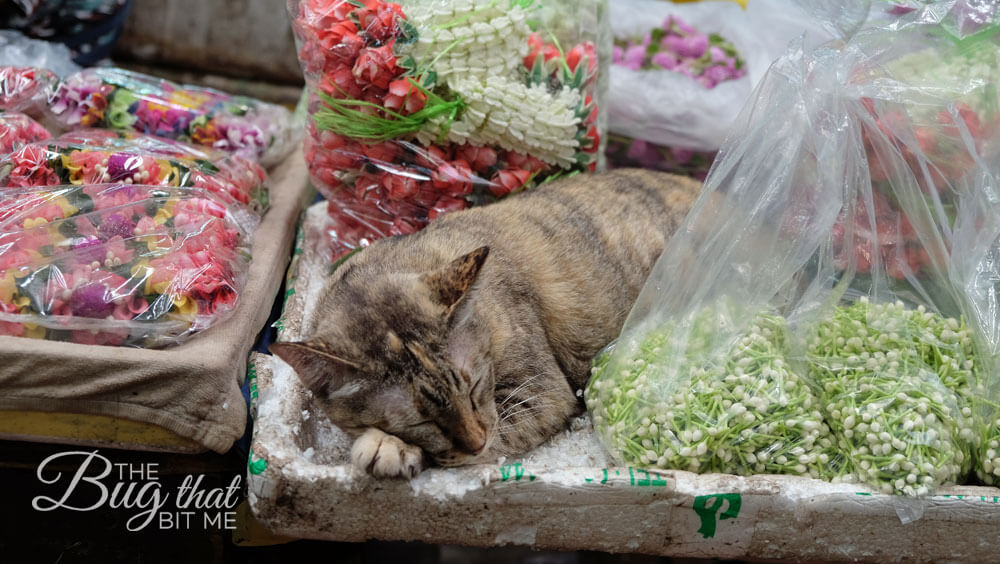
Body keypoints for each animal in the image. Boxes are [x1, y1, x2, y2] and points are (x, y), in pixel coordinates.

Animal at [270, 170, 700, 478]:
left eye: (476, 386)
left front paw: (387, 448)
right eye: (420, 419)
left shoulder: (544, 395)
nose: (476, 441)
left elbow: (469, 449)